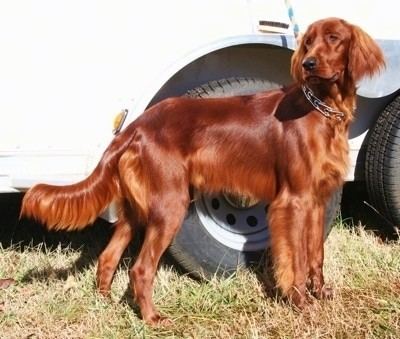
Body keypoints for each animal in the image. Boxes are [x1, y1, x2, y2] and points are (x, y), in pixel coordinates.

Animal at [21, 17, 384, 324]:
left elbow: (315, 255)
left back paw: (106, 304)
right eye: (308, 42)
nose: (308, 64)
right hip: (170, 205)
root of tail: (136, 127)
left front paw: (320, 293)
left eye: (333, 38)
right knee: (140, 268)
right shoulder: (292, 202)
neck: (321, 108)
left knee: (108, 257)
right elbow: (294, 259)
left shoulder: (316, 201)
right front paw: (300, 302)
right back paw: (152, 318)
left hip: (136, 210)